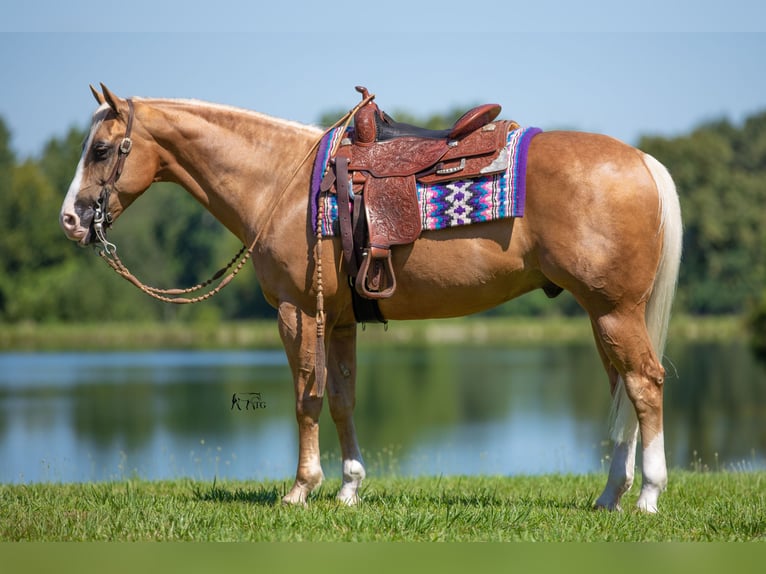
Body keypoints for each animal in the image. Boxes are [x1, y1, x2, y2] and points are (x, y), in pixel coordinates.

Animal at [60, 84, 684, 512]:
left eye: (102, 150)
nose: (70, 219)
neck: (280, 182)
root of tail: (642, 161)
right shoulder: (337, 321)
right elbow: (341, 399)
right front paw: (349, 488)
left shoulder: (297, 313)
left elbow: (305, 399)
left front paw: (301, 488)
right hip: (602, 314)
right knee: (622, 391)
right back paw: (609, 496)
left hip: (615, 312)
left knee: (645, 385)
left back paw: (648, 496)